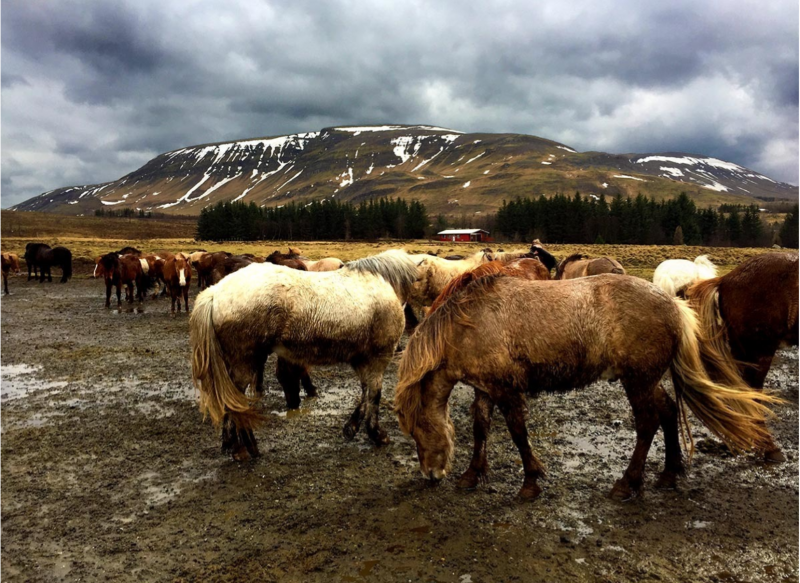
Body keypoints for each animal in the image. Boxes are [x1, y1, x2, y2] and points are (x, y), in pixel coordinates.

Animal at [191, 249, 416, 464]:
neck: (382, 283)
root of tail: (215, 292)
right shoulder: (377, 360)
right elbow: (374, 395)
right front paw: (376, 434)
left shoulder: (361, 360)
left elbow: (365, 393)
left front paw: (351, 428)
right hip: (244, 365)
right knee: (235, 404)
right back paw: (241, 450)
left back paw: (233, 445)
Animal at [396, 274, 780, 502]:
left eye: (417, 430)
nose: (430, 475)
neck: (468, 322)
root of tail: (673, 304)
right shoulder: (485, 387)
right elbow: (480, 428)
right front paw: (472, 475)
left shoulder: (506, 390)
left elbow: (518, 433)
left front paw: (530, 481)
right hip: (646, 379)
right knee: (669, 411)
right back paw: (669, 474)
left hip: (637, 381)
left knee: (648, 423)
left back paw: (627, 482)